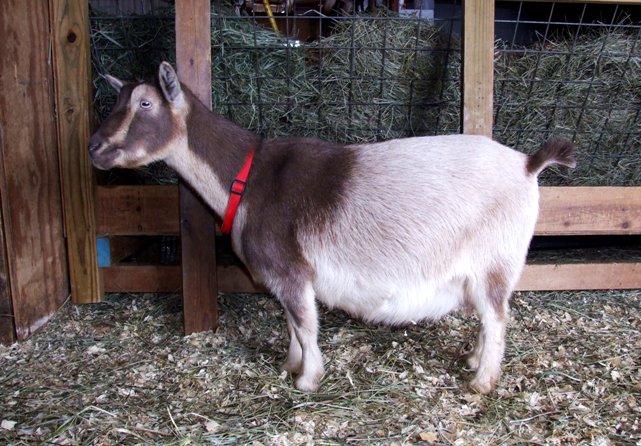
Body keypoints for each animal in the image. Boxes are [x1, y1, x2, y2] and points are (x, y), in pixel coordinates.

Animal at [89, 62, 576, 394]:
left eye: (145, 103)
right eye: (115, 101)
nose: (94, 146)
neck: (248, 178)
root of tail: (527, 166)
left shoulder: (292, 270)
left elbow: (305, 324)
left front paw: (308, 380)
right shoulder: (282, 277)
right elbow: (291, 323)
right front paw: (290, 366)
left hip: (496, 260)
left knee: (497, 316)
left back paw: (482, 382)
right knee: (488, 317)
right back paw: (473, 361)